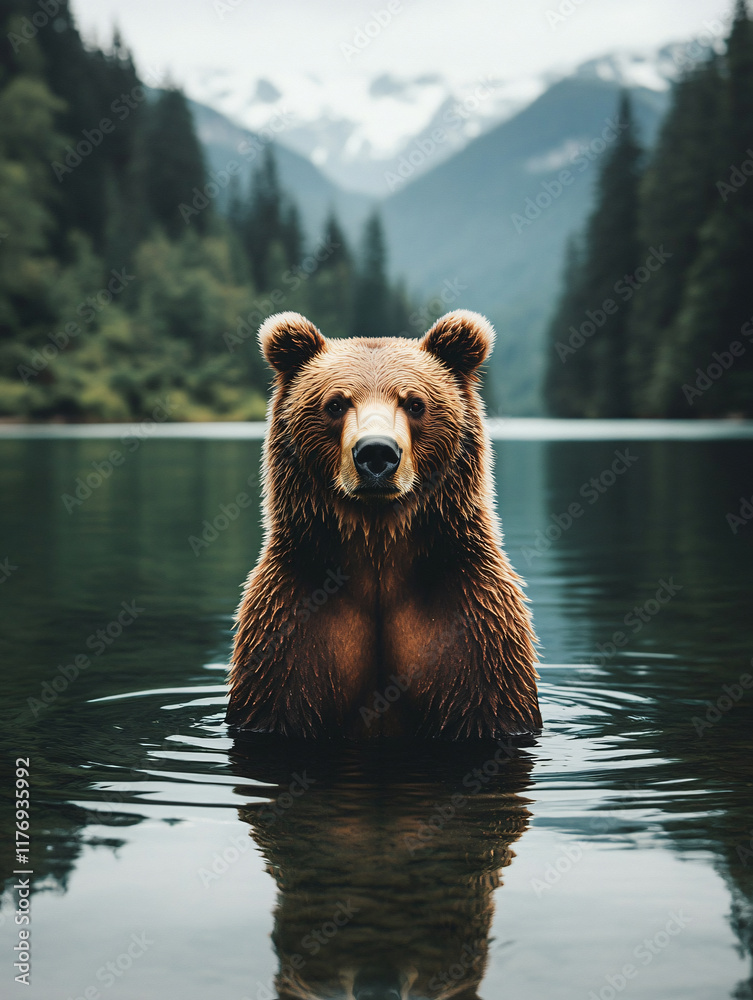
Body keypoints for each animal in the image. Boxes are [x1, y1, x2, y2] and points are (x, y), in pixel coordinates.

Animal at [226, 309, 541, 740]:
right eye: (335, 403)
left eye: (415, 403)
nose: (376, 452)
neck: (378, 546)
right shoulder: (292, 623)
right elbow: (283, 692)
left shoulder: (470, 620)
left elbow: (484, 693)